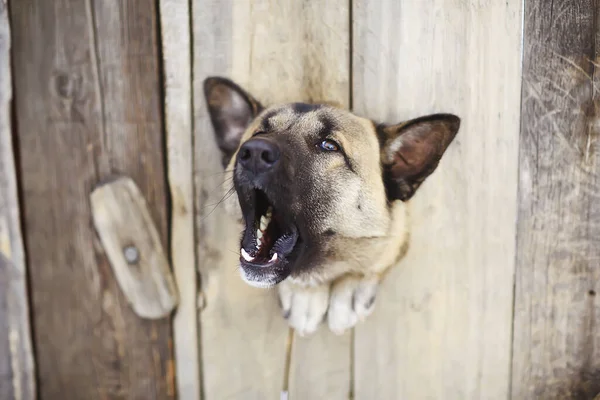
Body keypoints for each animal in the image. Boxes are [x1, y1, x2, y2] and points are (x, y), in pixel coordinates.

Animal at [202, 76, 460, 334]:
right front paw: (305, 295)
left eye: (329, 146)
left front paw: (350, 289)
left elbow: (377, 255)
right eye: (259, 133)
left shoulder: (397, 233)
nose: (255, 152)